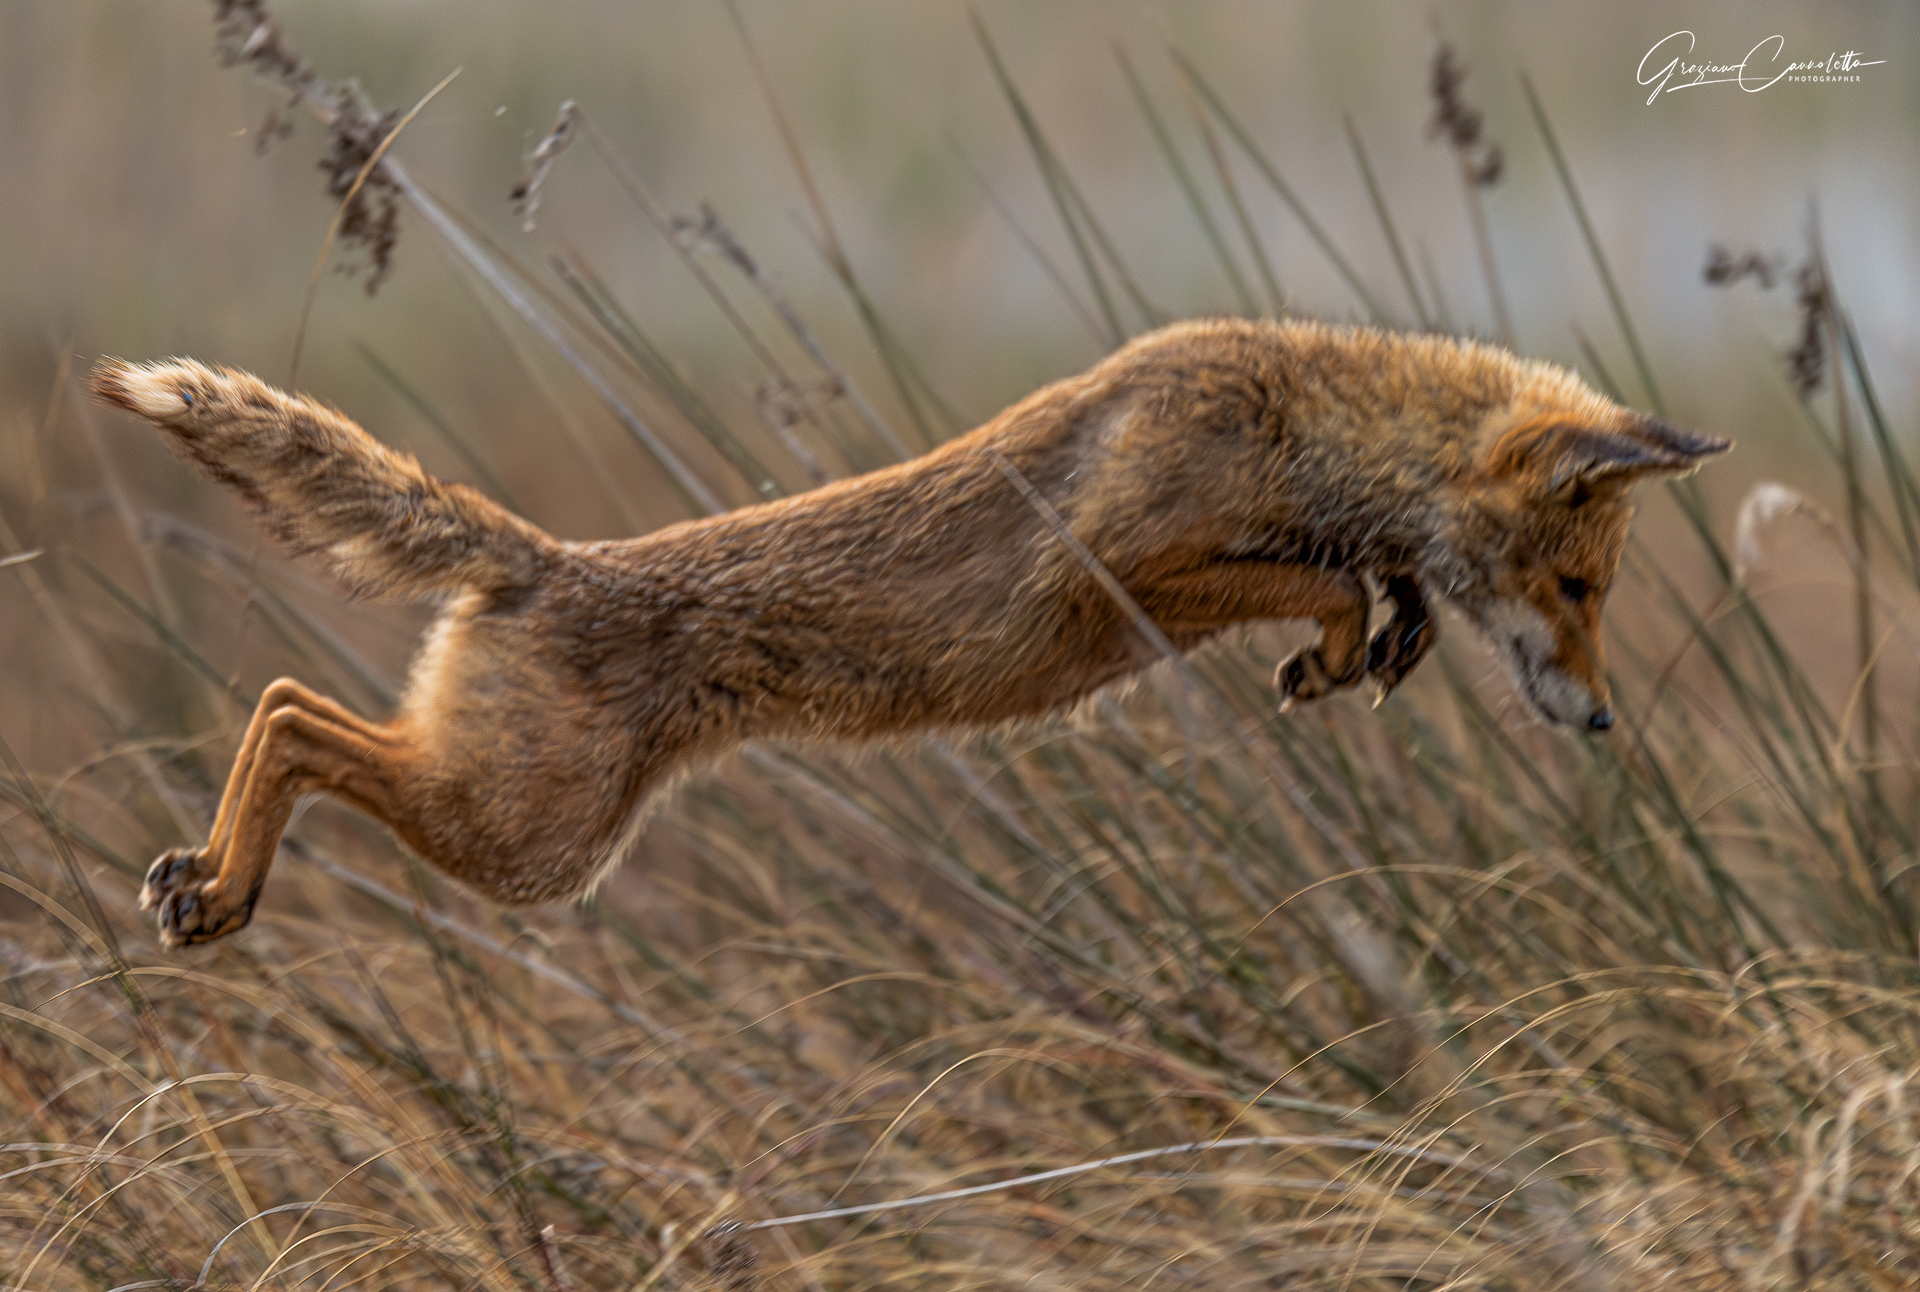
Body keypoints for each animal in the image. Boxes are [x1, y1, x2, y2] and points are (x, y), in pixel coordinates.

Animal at [93, 318, 1728, 948]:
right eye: (1582, 593)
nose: (1600, 721)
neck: (1297, 426)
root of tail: (544, 559)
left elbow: (1366, 586)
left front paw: (1384, 641)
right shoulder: (1123, 569)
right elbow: (1313, 582)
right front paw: (1342, 642)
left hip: (514, 830)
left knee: (290, 704)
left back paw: (207, 883)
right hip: (527, 842)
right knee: (292, 713)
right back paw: (217, 887)